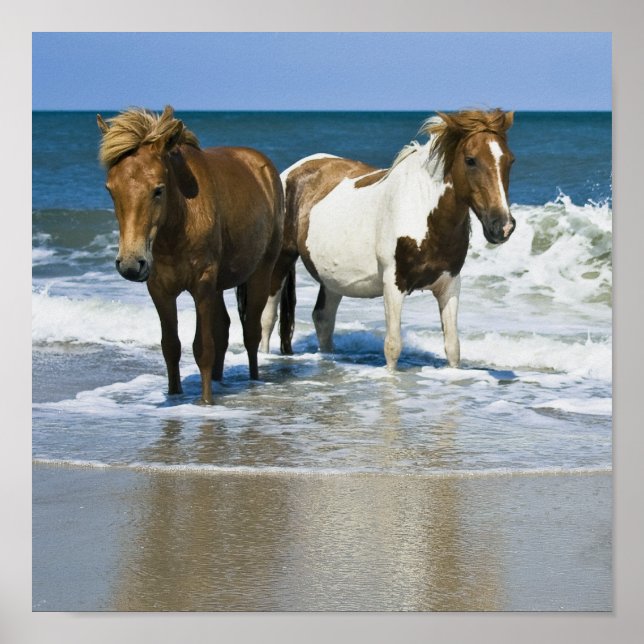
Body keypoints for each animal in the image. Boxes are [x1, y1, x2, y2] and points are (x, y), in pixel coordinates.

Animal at [97, 106, 284, 404]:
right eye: (111, 190)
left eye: (158, 190)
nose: (130, 265)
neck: (180, 222)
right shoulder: (160, 289)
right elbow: (171, 346)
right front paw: (175, 395)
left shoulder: (202, 285)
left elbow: (203, 347)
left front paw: (206, 402)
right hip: (218, 286)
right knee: (224, 328)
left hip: (260, 274)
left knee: (251, 332)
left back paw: (253, 381)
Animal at [260, 108, 515, 370]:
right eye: (471, 160)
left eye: (510, 160)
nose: (503, 226)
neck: (421, 210)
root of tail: (291, 171)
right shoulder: (393, 285)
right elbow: (392, 347)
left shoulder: (450, 285)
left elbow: (453, 348)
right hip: (281, 261)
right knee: (268, 319)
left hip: (332, 278)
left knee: (323, 319)